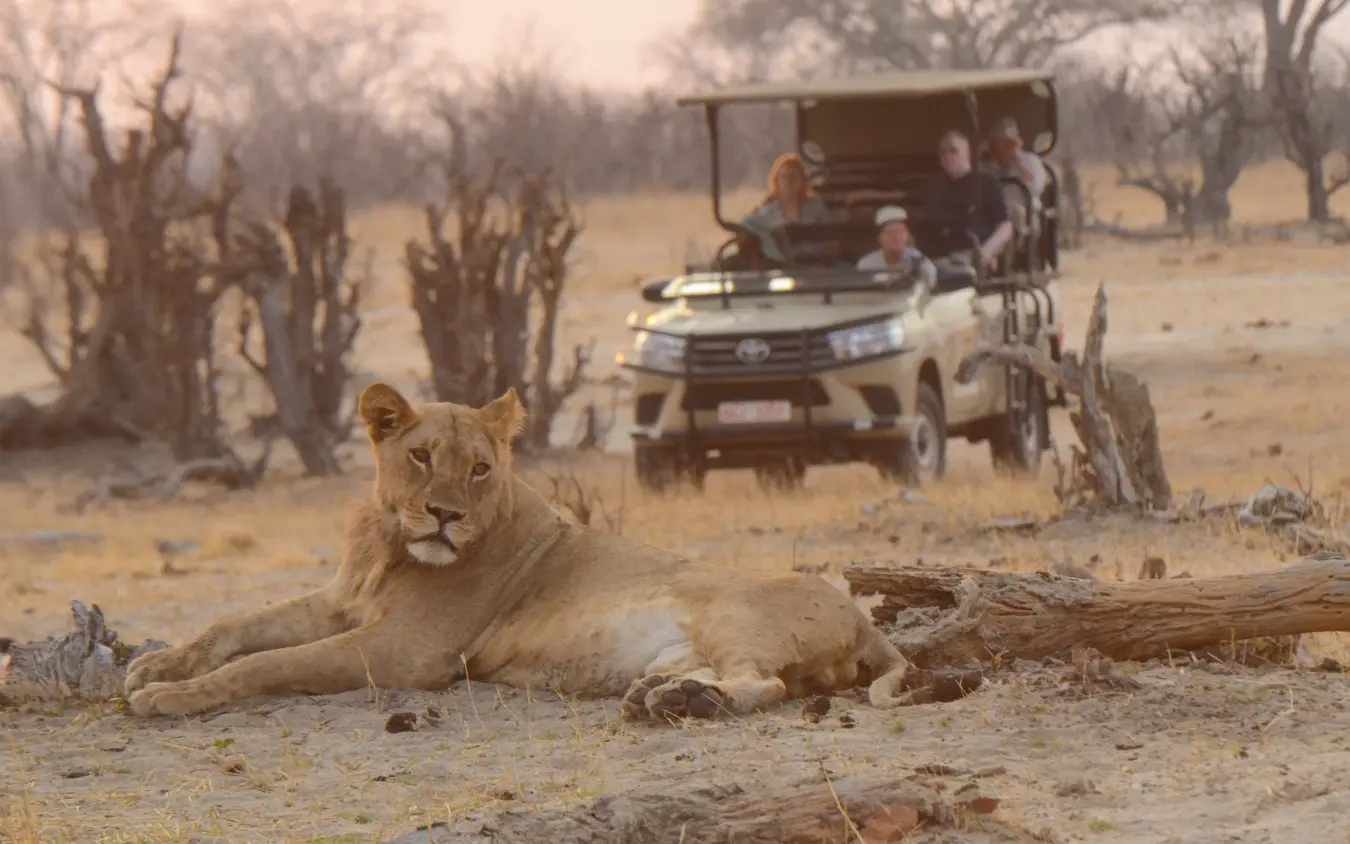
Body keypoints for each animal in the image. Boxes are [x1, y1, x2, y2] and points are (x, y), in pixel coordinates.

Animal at [124, 382, 911, 721]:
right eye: (421, 456)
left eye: (479, 468)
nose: (444, 515)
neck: (389, 541)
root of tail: (863, 620)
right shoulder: (343, 602)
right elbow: (235, 626)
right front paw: (157, 665)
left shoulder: (408, 651)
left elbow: (267, 663)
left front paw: (167, 696)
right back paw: (667, 695)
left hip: (733, 613)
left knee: (765, 684)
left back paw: (690, 704)